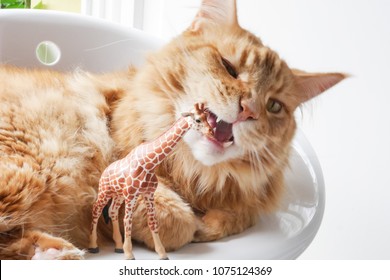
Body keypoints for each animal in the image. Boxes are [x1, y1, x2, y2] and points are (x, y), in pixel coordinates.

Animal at [0, 0, 346, 260]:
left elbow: (238, 214)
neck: (195, 174)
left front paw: (211, 223)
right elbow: (178, 221)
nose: (249, 109)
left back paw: (52, 252)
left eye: (274, 105)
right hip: (32, 168)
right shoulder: (120, 180)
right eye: (229, 68)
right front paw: (192, 228)